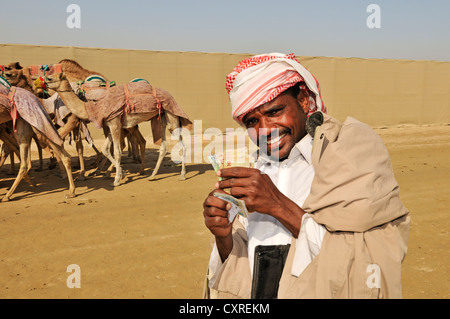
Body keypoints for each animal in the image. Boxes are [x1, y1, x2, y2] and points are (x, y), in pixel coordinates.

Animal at [46, 72, 191, 188]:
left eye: (49, 78)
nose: (44, 84)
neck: (95, 107)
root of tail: (172, 96)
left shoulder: (115, 123)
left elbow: (117, 151)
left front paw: (115, 180)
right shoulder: (110, 124)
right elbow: (105, 149)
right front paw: (120, 173)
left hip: (172, 116)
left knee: (181, 144)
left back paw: (182, 175)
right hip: (161, 118)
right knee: (163, 146)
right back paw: (152, 175)